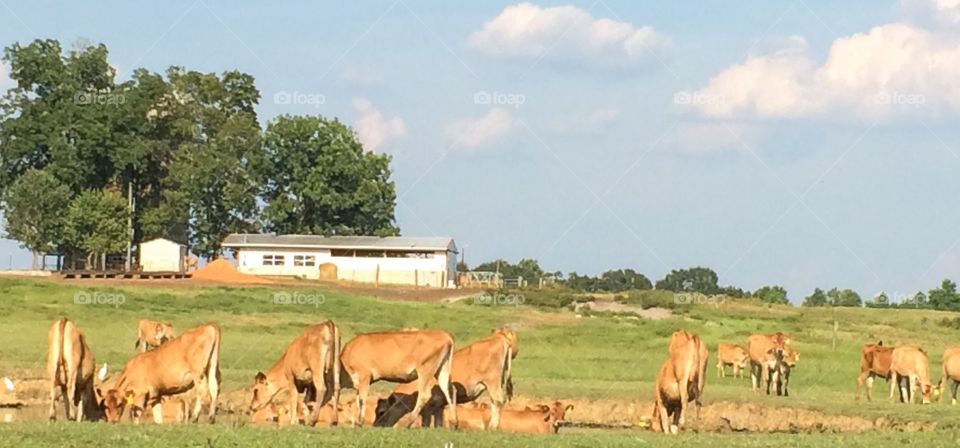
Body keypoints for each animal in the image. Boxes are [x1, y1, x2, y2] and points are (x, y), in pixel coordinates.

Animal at [374, 328, 518, 429]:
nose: (376, 426)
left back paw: (493, 427)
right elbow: (438, 423)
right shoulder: (439, 407)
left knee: (498, 400)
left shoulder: (428, 409)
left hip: (492, 381)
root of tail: (499, 338)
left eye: (381, 412)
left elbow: (426, 424)